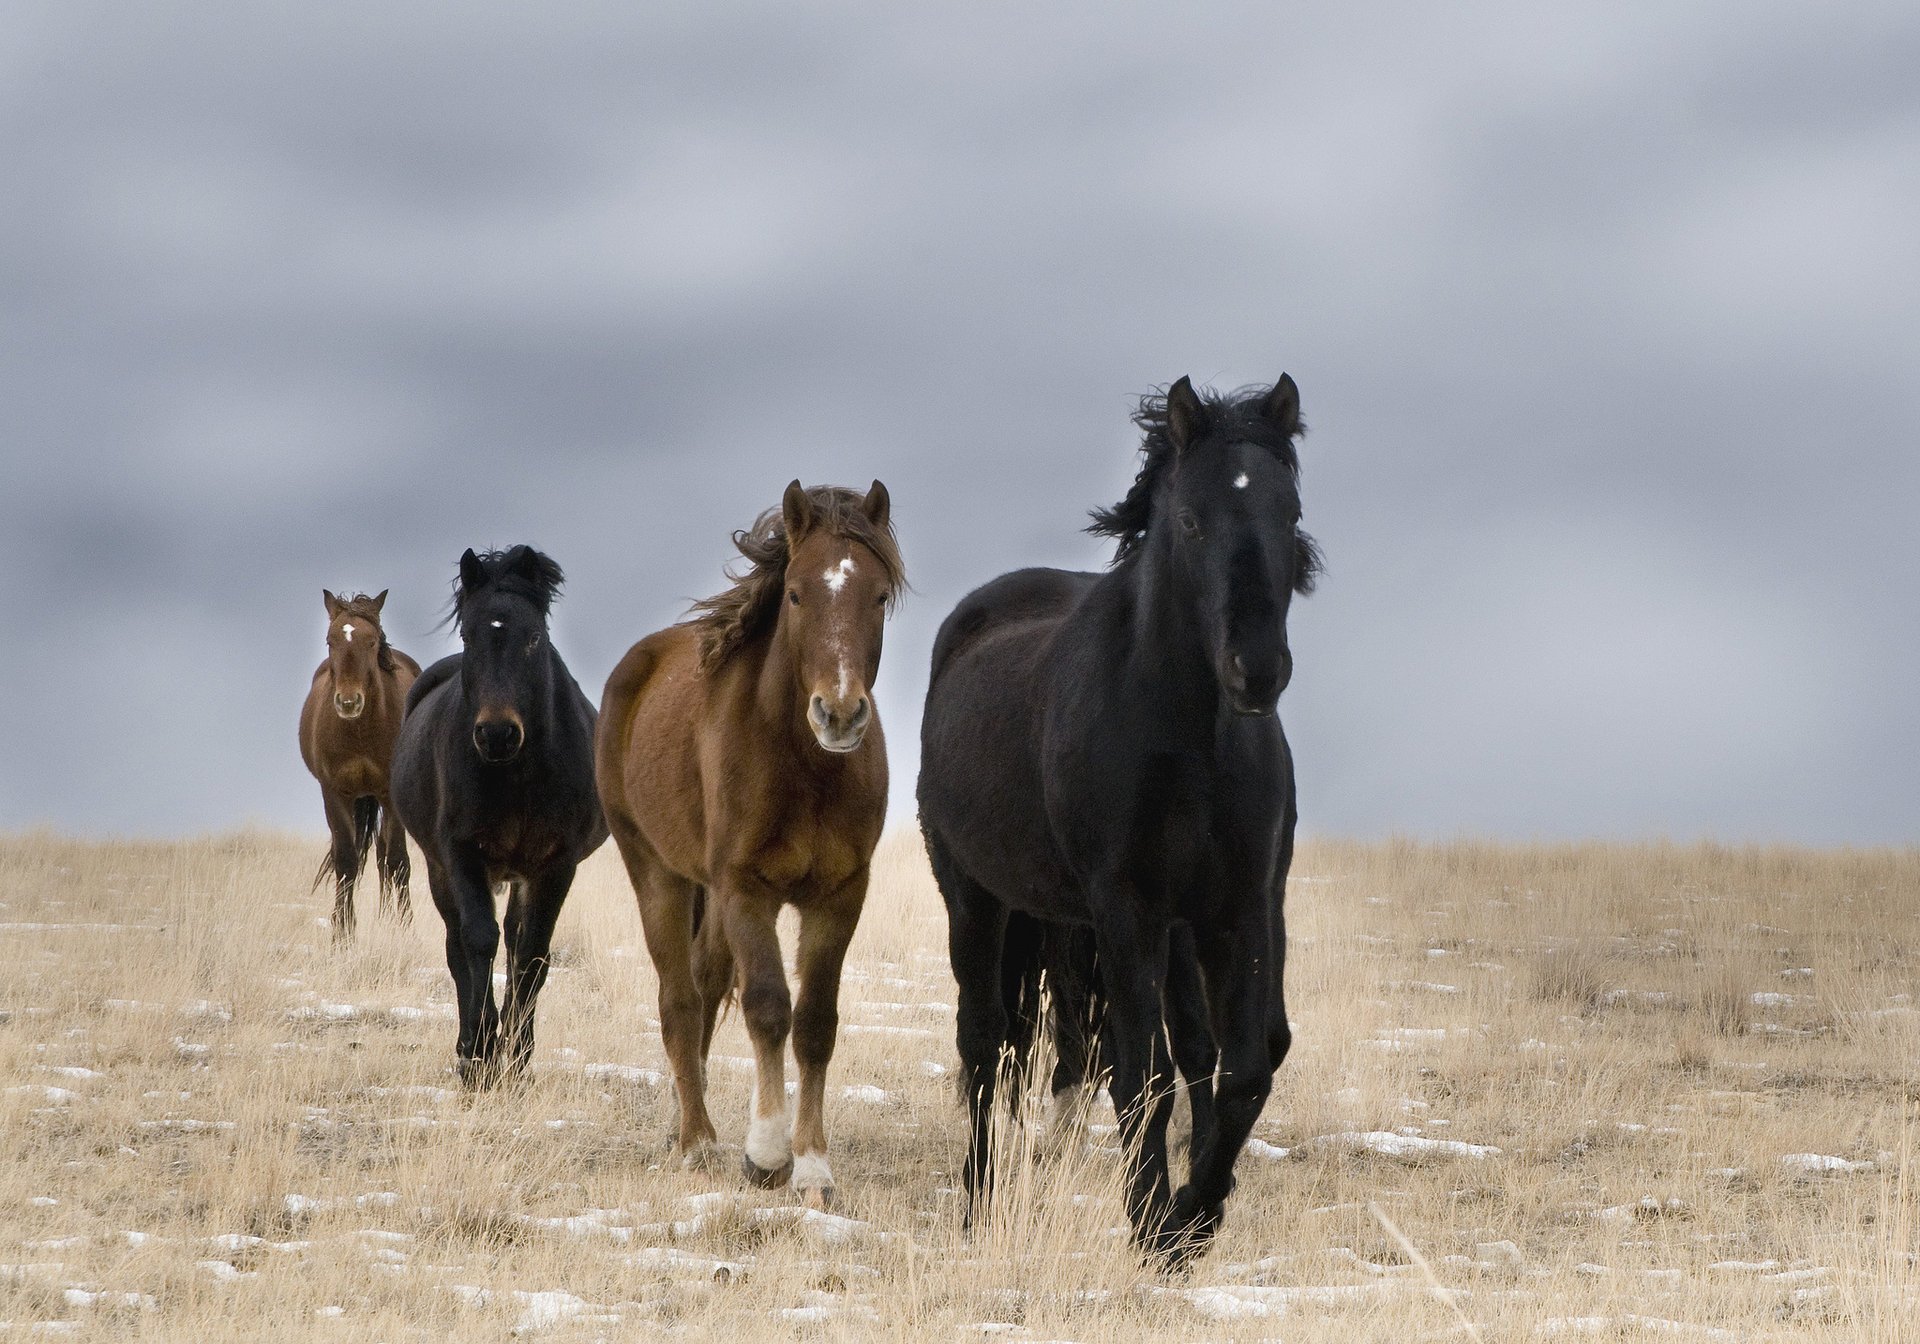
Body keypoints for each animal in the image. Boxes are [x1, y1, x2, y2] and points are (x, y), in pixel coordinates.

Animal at [298, 589, 421, 940]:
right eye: (330, 641)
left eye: (371, 642)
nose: (349, 702)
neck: (360, 731)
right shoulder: (335, 793)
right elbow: (346, 862)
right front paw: (342, 932)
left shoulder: (389, 794)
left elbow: (397, 861)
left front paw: (405, 928)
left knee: (385, 857)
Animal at [390, 547, 607, 1087]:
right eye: (469, 635)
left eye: (533, 637)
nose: (496, 734)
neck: (518, 775)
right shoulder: (463, 854)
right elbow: (477, 943)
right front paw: (482, 1054)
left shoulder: (555, 864)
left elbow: (531, 955)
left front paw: (519, 1057)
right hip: (440, 868)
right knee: (457, 948)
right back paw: (470, 1046)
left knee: (513, 940)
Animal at [596, 481, 902, 1208]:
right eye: (794, 593)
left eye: (879, 596)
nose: (839, 714)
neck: (805, 766)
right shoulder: (745, 889)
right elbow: (768, 1007)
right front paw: (765, 1155)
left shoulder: (840, 896)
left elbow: (816, 1022)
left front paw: (814, 1166)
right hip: (657, 872)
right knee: (679, 1000)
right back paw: (696, 1141)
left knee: (705, 986)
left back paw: (689, 1121)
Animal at [917, 373, 1320, 1266]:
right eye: (1192, 518)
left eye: (1289, 512)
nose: (1258, 670)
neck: (1188, 739)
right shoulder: (1126, 908)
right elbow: (1144, 1074)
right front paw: (1151, 1221)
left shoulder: (1243, 905)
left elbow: (1245, 1065)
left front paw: (1194, 1216)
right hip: (977, 901)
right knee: (985, 1043)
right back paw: (978, 1204)